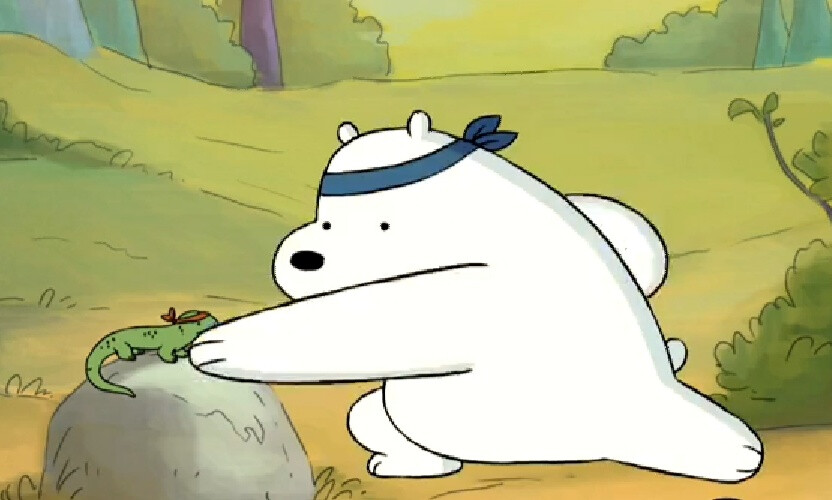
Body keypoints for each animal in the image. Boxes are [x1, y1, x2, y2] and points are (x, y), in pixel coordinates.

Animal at [189, 110, 762, 483]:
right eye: (324, 220)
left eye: (383, 224)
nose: (304, 258)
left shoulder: (481, 289)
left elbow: (382, 319)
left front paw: (218, 346)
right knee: (374, 416)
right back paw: (411, 464)